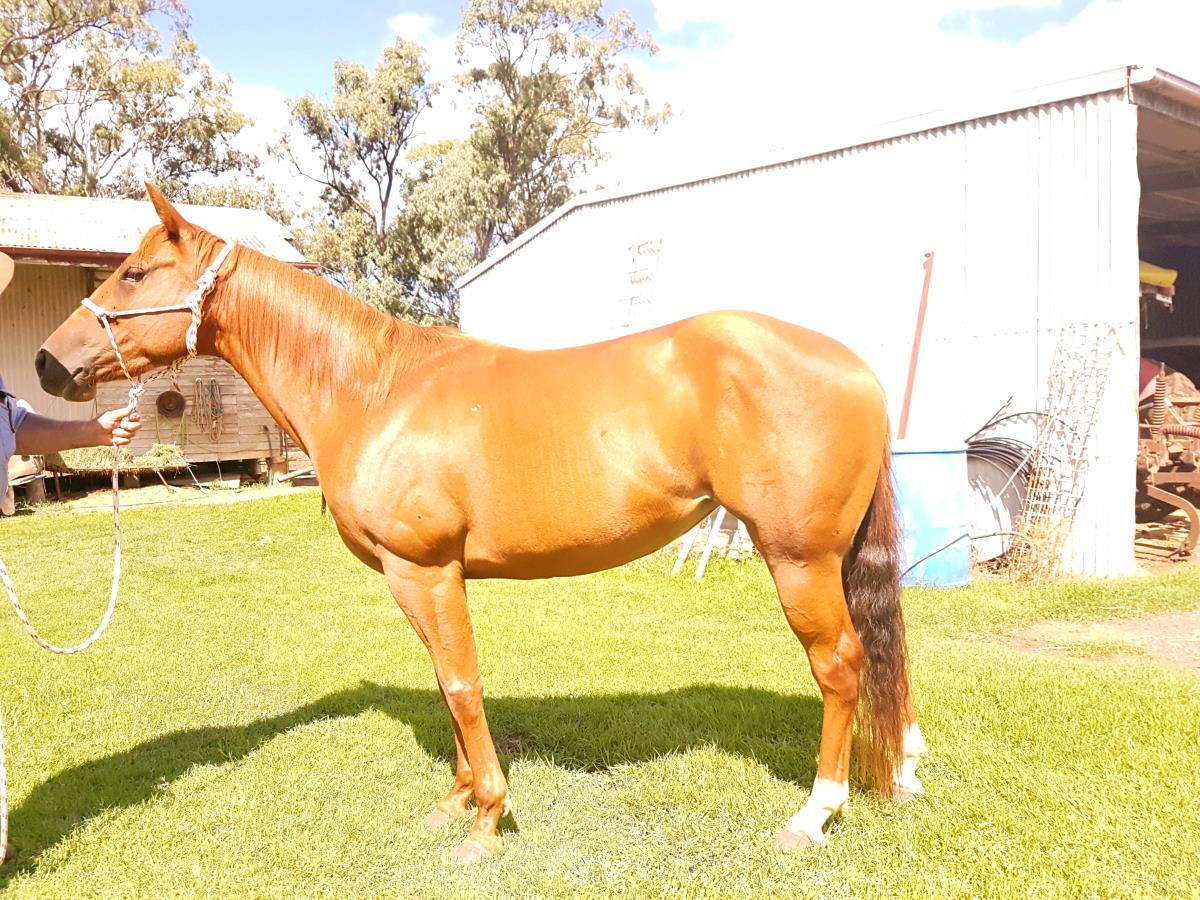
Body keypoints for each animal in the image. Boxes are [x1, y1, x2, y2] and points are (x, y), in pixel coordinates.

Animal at [35, 185, 926, 863]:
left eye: (134, 272)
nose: (47, 362)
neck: (375, 390)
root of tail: (856, 368)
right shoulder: (425, 579)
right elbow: (443, 681)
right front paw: (457, 801)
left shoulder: (424, 569)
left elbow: (462, 685)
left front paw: (487, 822)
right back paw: (903, 773)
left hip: (800, 560)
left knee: (841, 665)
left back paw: (814, 815)